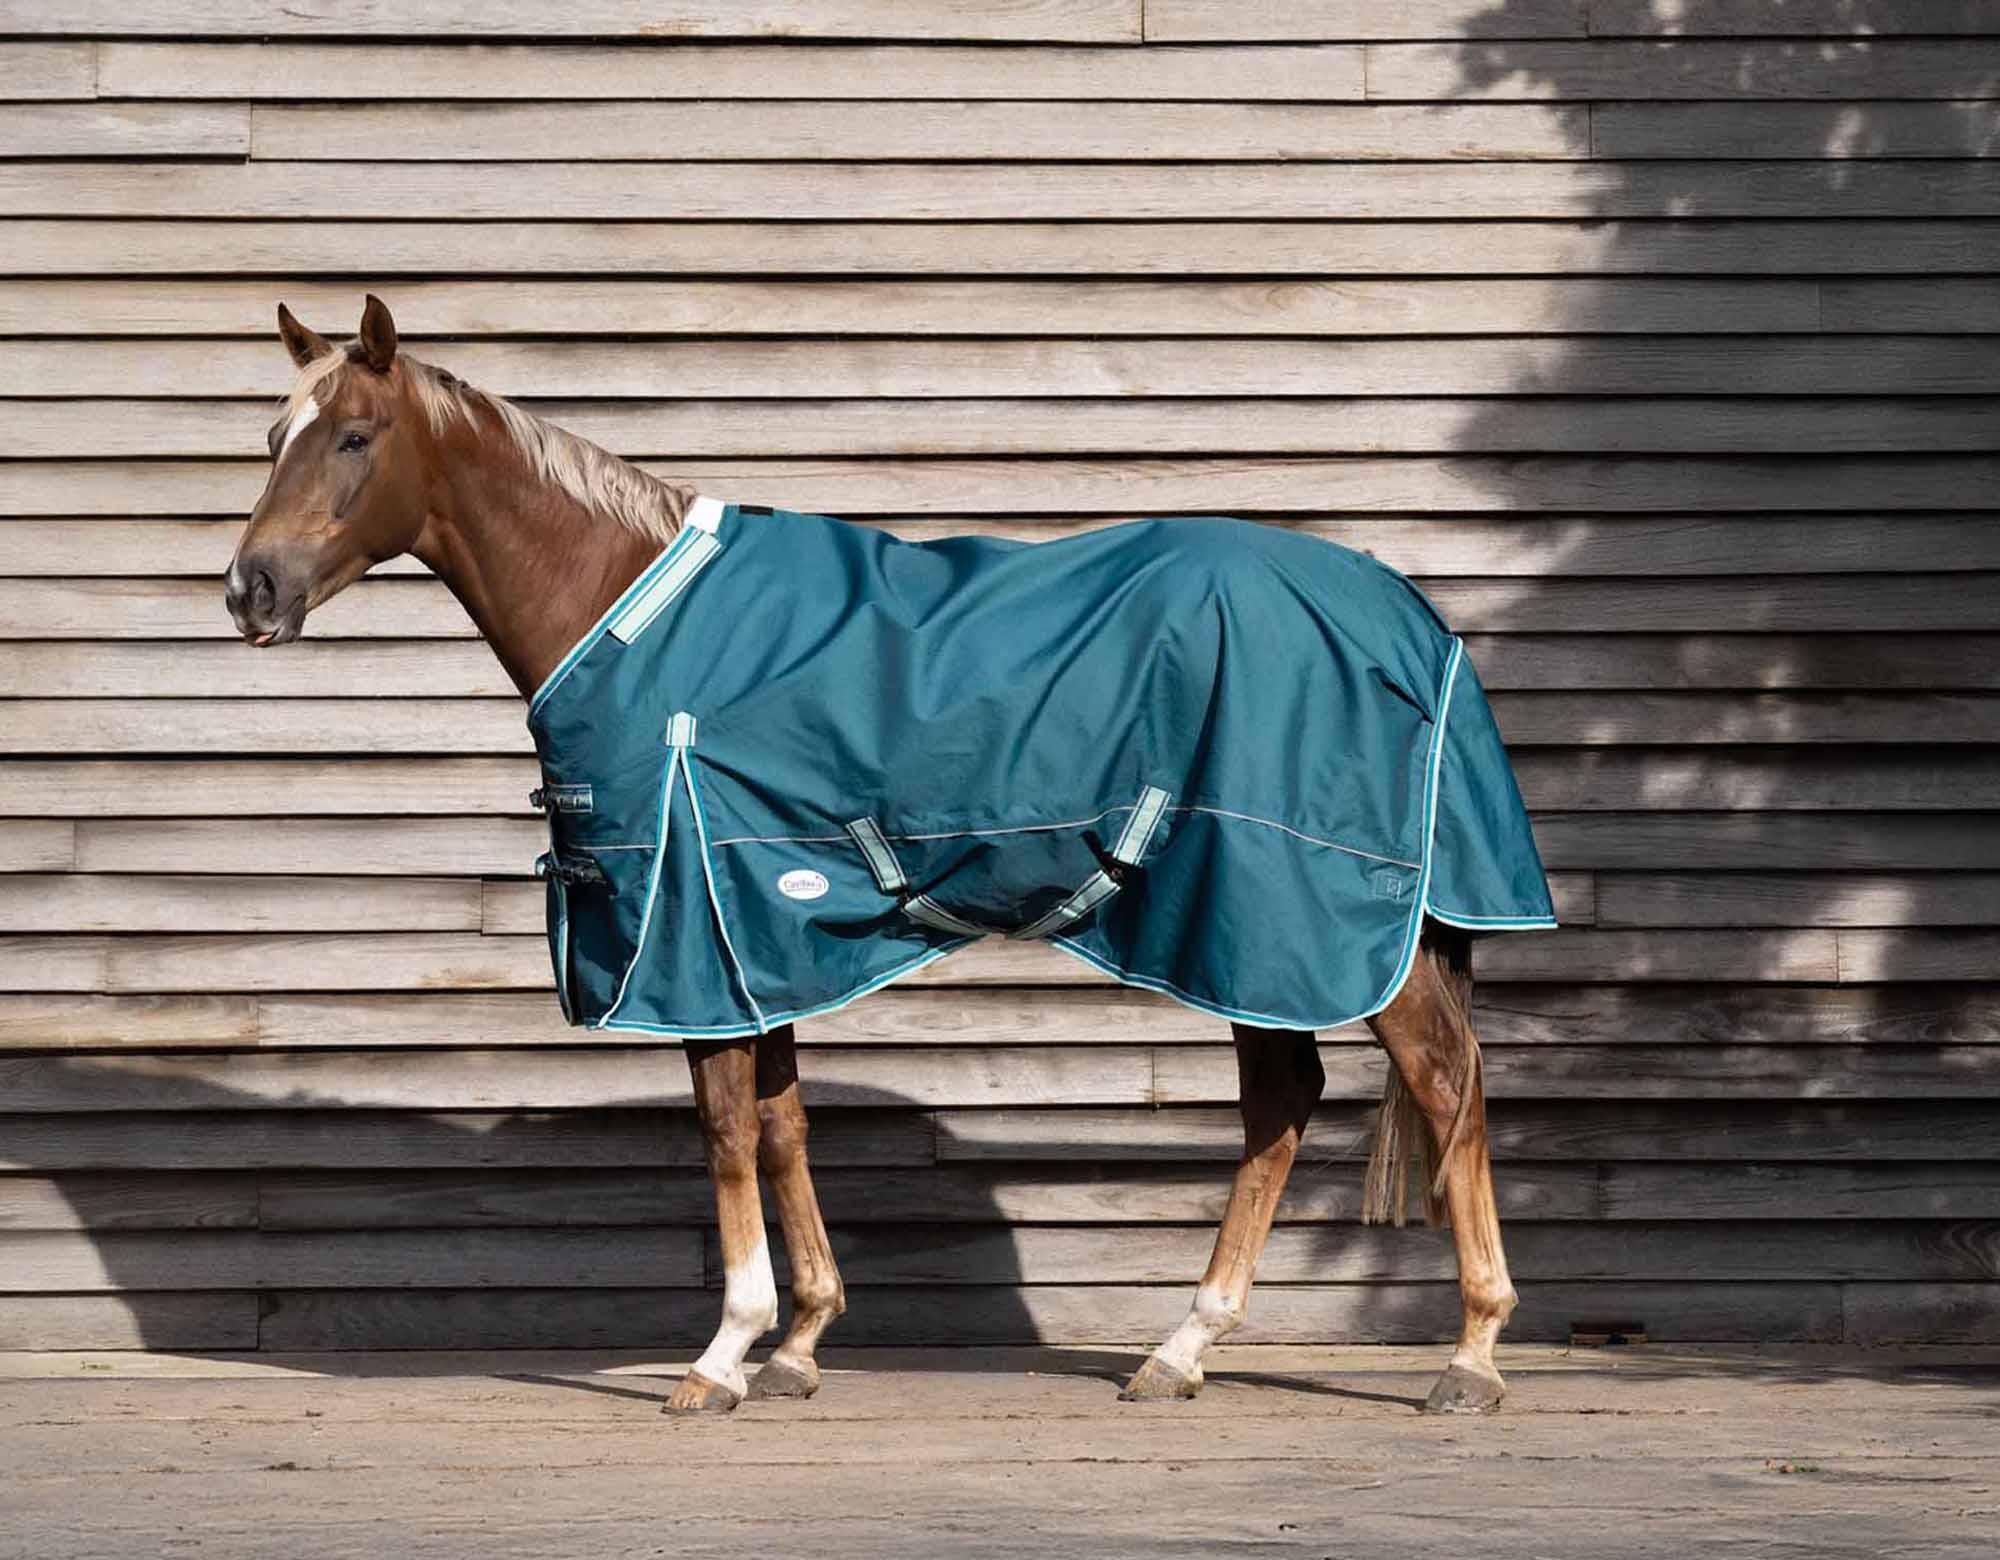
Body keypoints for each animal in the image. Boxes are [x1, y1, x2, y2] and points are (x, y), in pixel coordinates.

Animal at [226, 295, 1539, 1416]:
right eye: (274, 436)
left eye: (354, 437)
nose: (250, 588)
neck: (631, 610)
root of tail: (1407, 621)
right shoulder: (756, 934)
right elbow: (781, 1123)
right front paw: (800, 1340)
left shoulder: (694, 927)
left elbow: (724, 1130)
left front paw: (722, 1354)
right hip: (1241, 935)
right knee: (1281, 1102)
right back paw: (1181, 1349)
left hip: (1305, 920)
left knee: (1441, 1080)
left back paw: (1469, 1355)